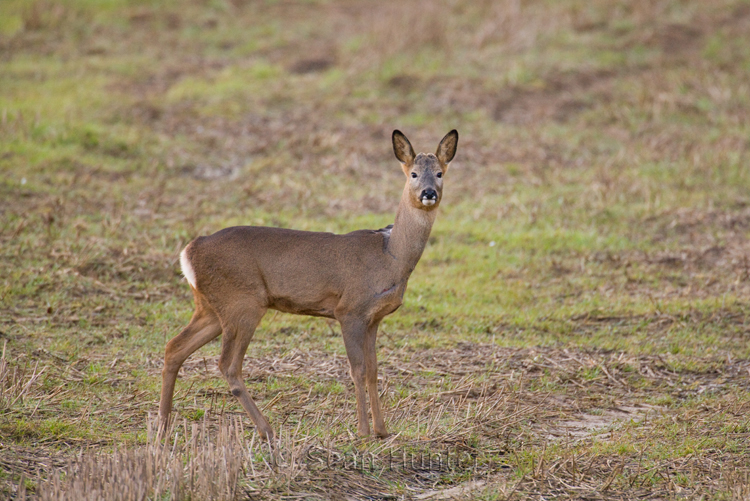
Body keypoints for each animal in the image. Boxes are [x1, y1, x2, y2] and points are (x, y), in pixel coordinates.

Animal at [160, 129, 458, 438]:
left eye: (439, 172)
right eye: (413, 174)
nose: (428, 193)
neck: (390, 257)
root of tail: (189, 251)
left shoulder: (373, 318)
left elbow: (375, 370)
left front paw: (382, 430)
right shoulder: (349, 310)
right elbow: (358, 370)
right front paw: (364, 431)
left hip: (211, 307)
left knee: (174, 348)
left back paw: (163, 426)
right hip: (242, 303)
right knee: (227, 365)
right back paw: (266, 429)